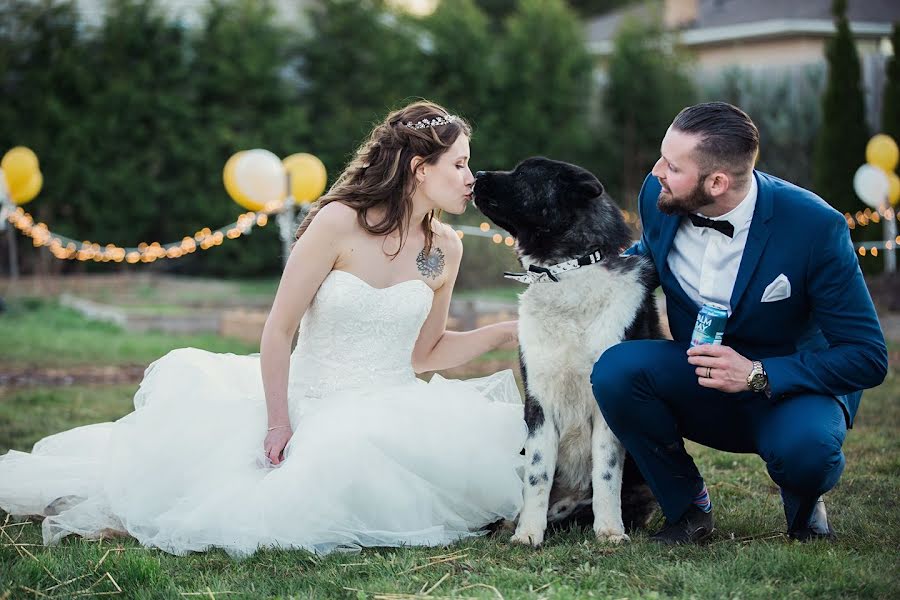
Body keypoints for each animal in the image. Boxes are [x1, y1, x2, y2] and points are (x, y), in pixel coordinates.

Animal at [474, 157, 656, 548]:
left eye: (524, 173)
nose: (476, 174)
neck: (565, 271)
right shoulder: (539, 403)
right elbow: (537, 476)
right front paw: (528, 533)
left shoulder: (605, 409)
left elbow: (606, 473)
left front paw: (610, 531)